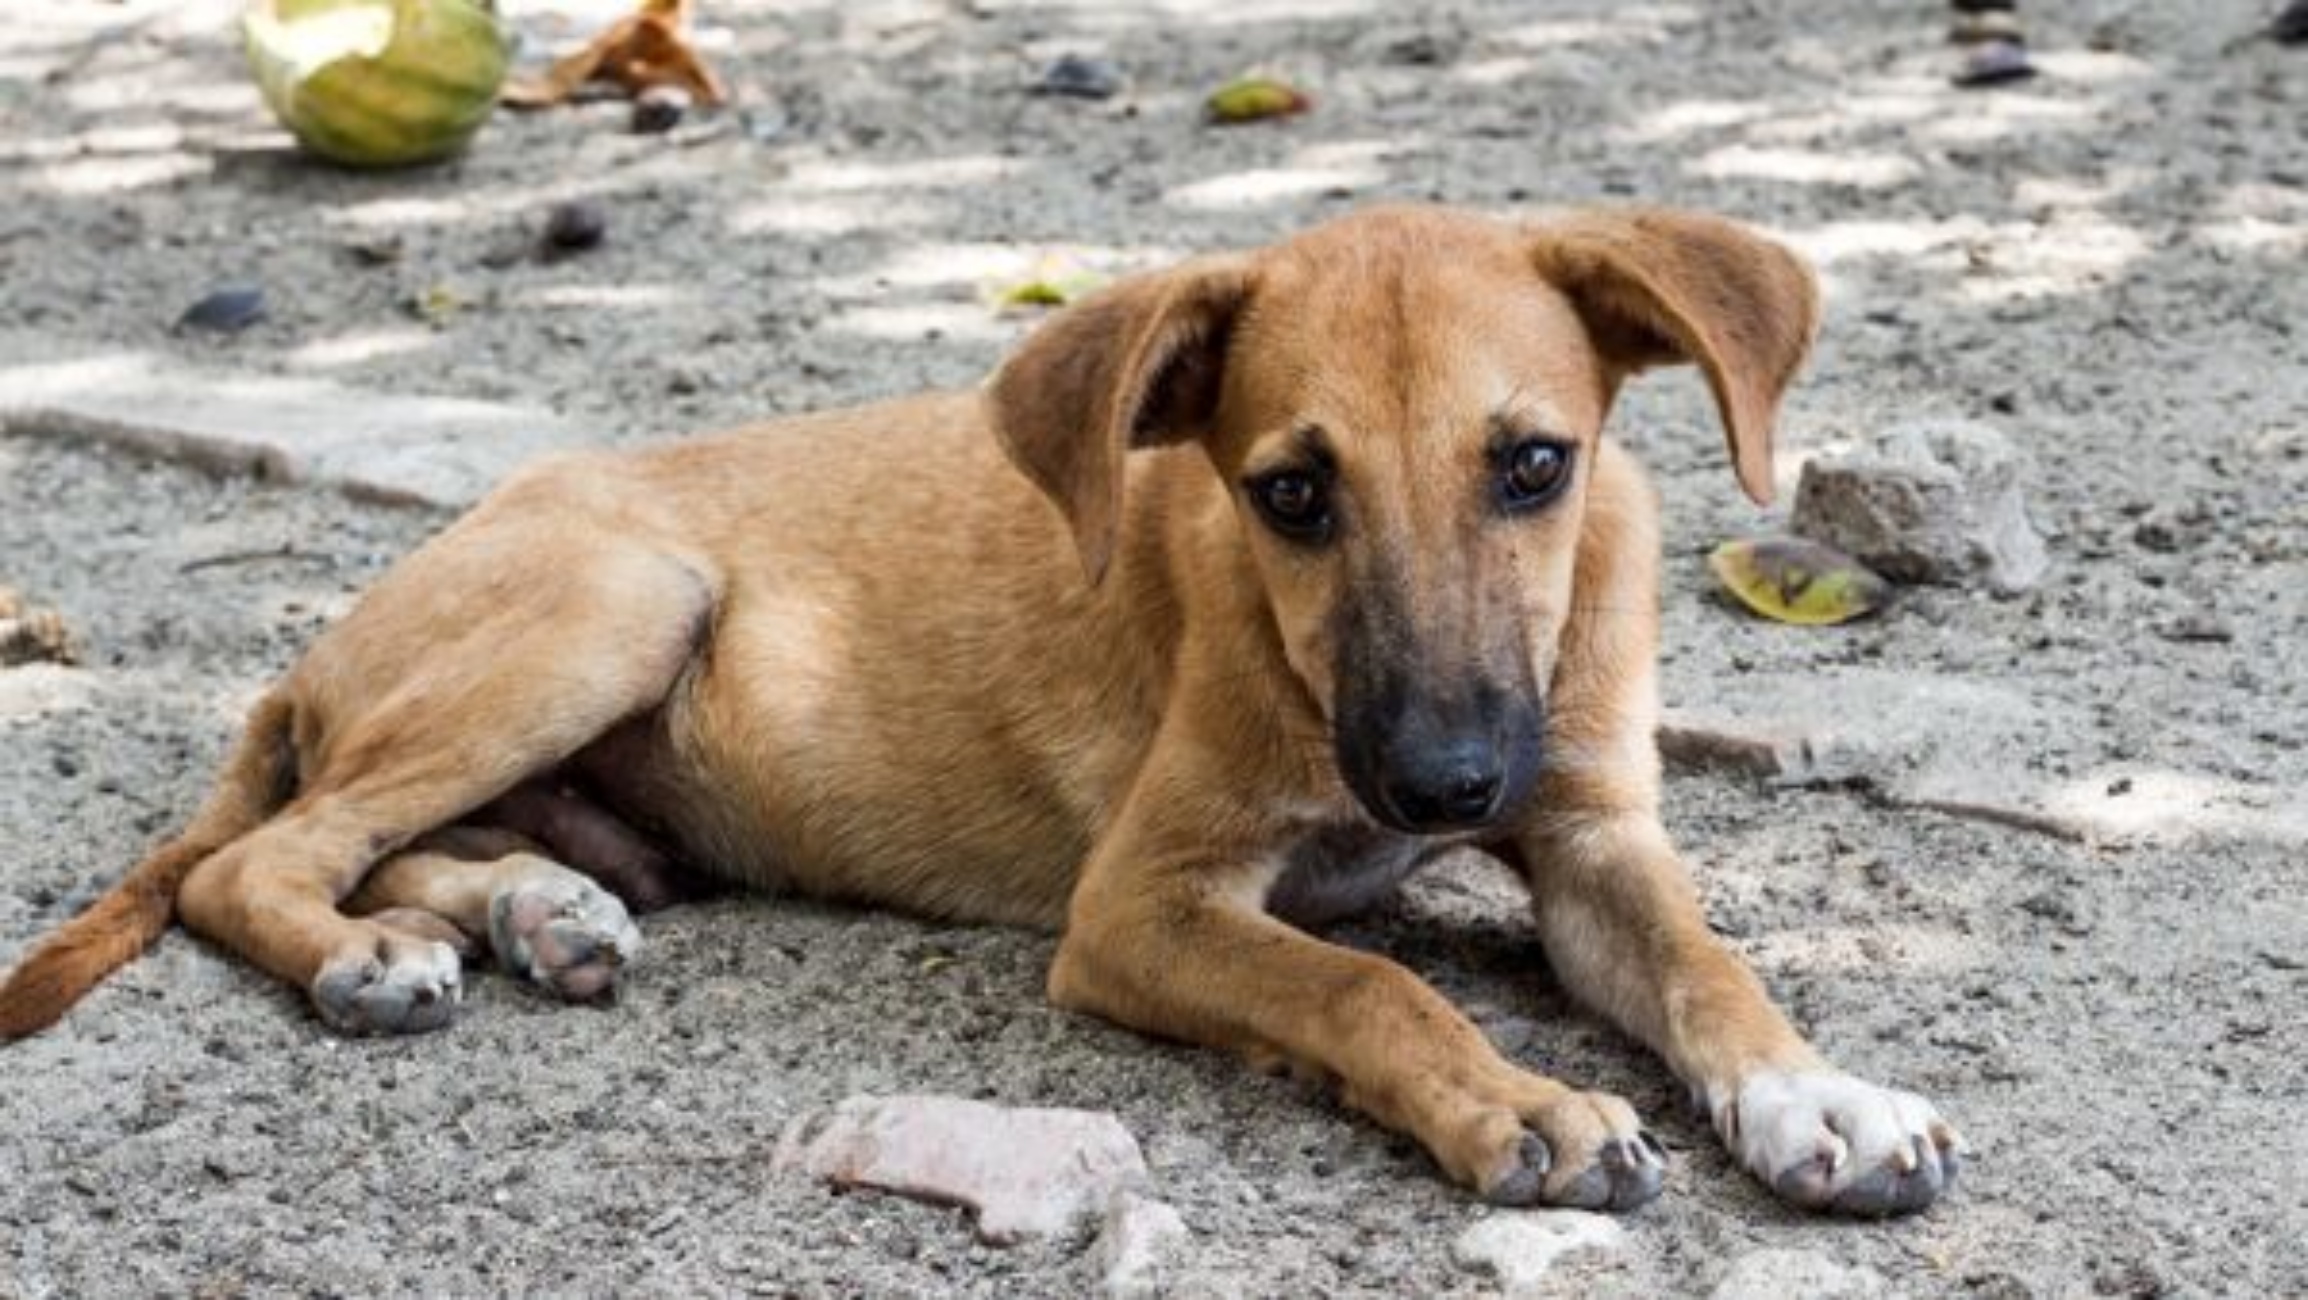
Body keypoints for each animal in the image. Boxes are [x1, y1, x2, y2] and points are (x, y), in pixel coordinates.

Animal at [0, 205, 1957, 1219]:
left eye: (1535, 464)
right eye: (1290, 495)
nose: (1441, 782)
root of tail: (318, 646)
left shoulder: (1593, 836)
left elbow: (1710, 968)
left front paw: (1821, 1097)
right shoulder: (1140, 909)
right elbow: (1363, 982)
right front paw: (1519, 1103)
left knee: (410, 843)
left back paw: (534, 913)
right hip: (616, 599)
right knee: (259, 862)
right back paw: (366, 955)